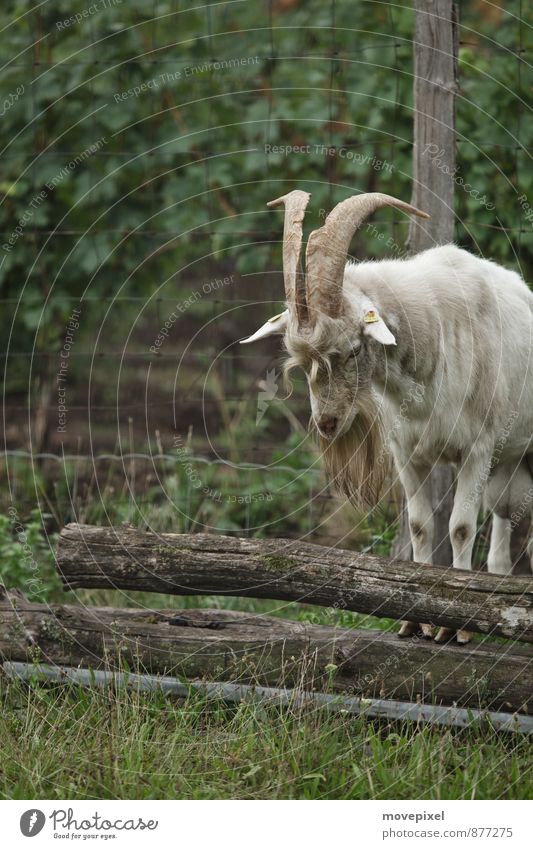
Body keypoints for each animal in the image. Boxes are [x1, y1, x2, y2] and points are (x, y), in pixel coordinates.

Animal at [241, 190, 532, 644]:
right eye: (301, 363)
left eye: (354, 350)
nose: (327, 424)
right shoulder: (408, 452)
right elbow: (420, 526)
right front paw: (416, 621)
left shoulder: (477, 449)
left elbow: (460, 527)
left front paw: (457, 628)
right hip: (508, 463)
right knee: (504, 523)